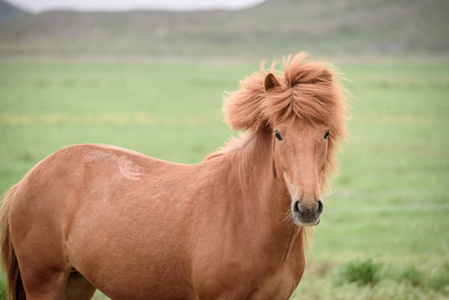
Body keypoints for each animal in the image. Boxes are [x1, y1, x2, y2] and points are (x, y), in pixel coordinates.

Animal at [0, 52, 346, 300]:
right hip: (45, 282)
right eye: (279, 135)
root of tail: (25, 182)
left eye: (326, 133)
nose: (307, 208)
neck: (245, 214)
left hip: (77, 281)